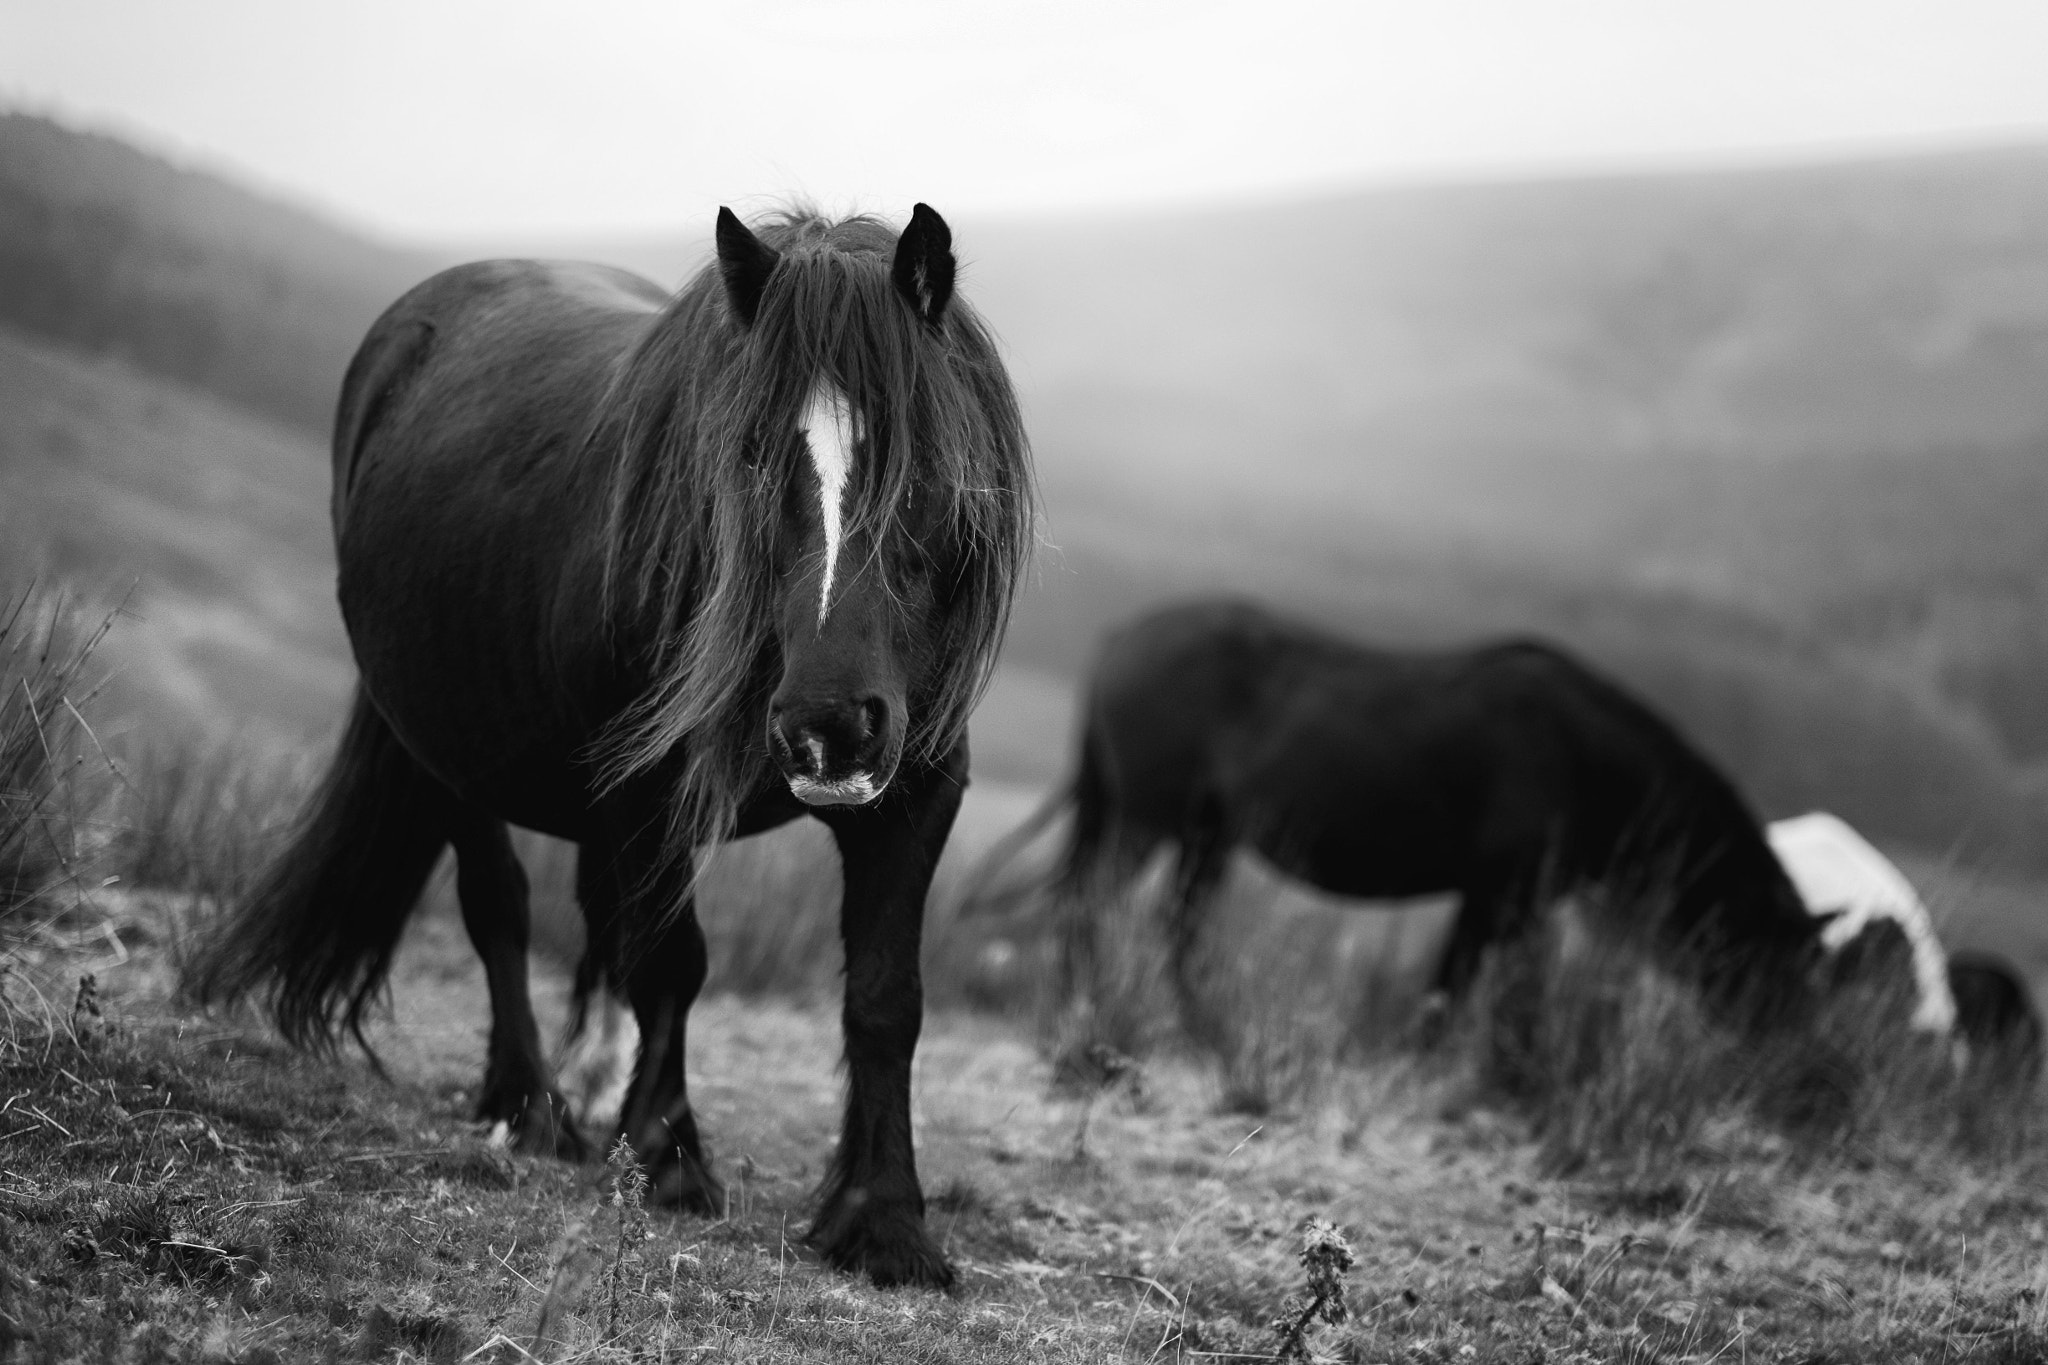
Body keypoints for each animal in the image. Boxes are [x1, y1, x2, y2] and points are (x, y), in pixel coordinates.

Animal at [189, 204, 1035, 1289]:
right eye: (750, 451)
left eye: (922, 455)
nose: (828, 723)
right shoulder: (651, 792)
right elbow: (672, 961)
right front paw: (671, 1158)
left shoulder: (916, 790)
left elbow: (885, 999)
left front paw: (881, 1220)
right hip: (449, 743)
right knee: (501, 907)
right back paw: (531, 1102)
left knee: (597, 919)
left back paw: (587, 1092)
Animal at [971, 598, 1825, 1044]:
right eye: (1779, 968)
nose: (1794, 1073)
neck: (1586, 758)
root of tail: (1125, 635)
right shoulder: (1500, 895)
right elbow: (1461, 986)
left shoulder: (1510, 901)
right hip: (1146, 819)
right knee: (1093, 906)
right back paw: (1085, 1006)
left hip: (1205, 836)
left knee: (1178, 924)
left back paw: (1200, 1023)